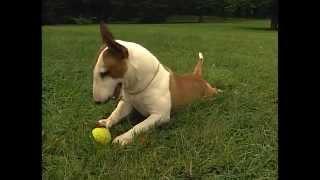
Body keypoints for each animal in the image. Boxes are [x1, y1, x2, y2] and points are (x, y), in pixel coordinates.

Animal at [92, 22, 220, 146]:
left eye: (104, 73)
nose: (96, 102)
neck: (139, 85)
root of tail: (197, 76)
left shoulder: (160, 115)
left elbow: (139, 126)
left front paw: (123, 137)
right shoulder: (127, 103)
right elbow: (117, 112)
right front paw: (107, 121)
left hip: (208, 95)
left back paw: (219, 91)